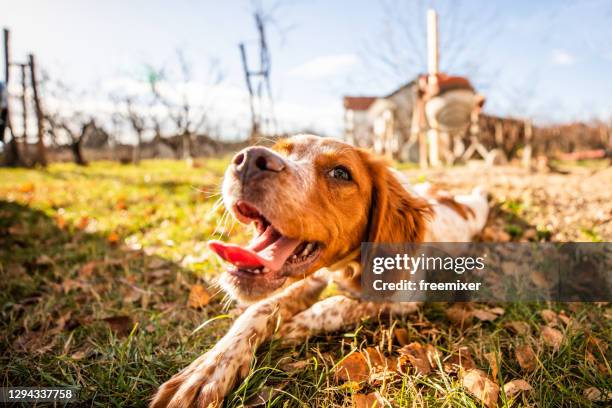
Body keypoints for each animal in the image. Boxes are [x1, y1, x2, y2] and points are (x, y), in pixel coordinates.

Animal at [151, 135, 490, 406]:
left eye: (341, 173)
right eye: (283, 150)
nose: (248, 160)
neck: (345, 267)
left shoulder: (402, 297)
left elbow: (339, 304)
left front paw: (294, 326)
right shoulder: (313, 276)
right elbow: (261, 307)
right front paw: (208, 370)